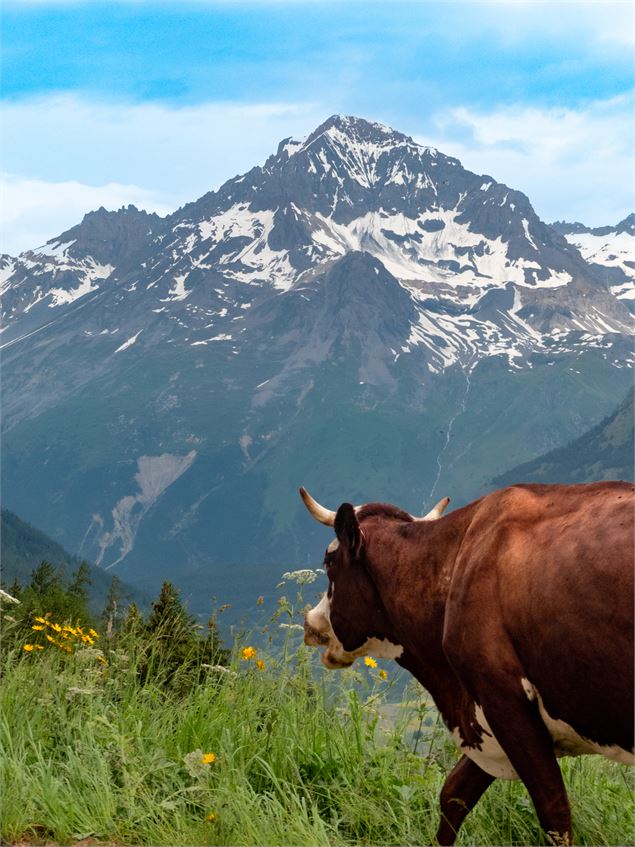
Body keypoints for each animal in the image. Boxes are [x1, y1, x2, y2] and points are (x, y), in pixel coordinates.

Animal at [300, 481, 634, 845]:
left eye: (329, 561)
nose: (310, 623)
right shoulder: (484, 716)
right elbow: (454, 792)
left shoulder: (502, 699)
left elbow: (554, 814)